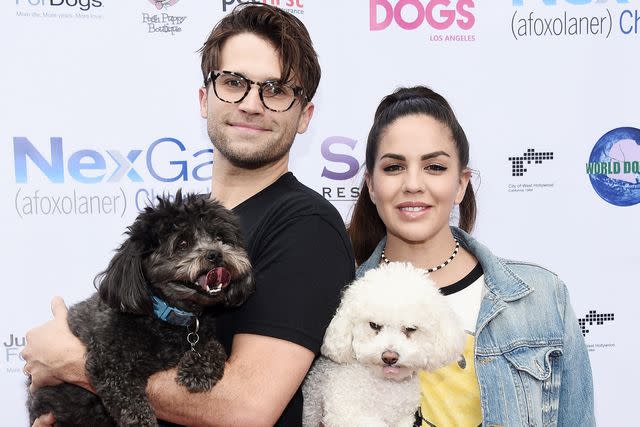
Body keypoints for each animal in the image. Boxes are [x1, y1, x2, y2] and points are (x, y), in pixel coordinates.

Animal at [27, 191, 254, 427]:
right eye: (182, 243)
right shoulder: (109, 362)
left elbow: (214, 346)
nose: (216, 254)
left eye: (221, 238)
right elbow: (130, 401)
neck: (166, 319)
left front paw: (199, 369)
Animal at [302, 262, 462, 426]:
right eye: (374, 325)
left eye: (411, 329)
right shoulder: (346, 414)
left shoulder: (403, 418)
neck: (387, 385)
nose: (389, 357)